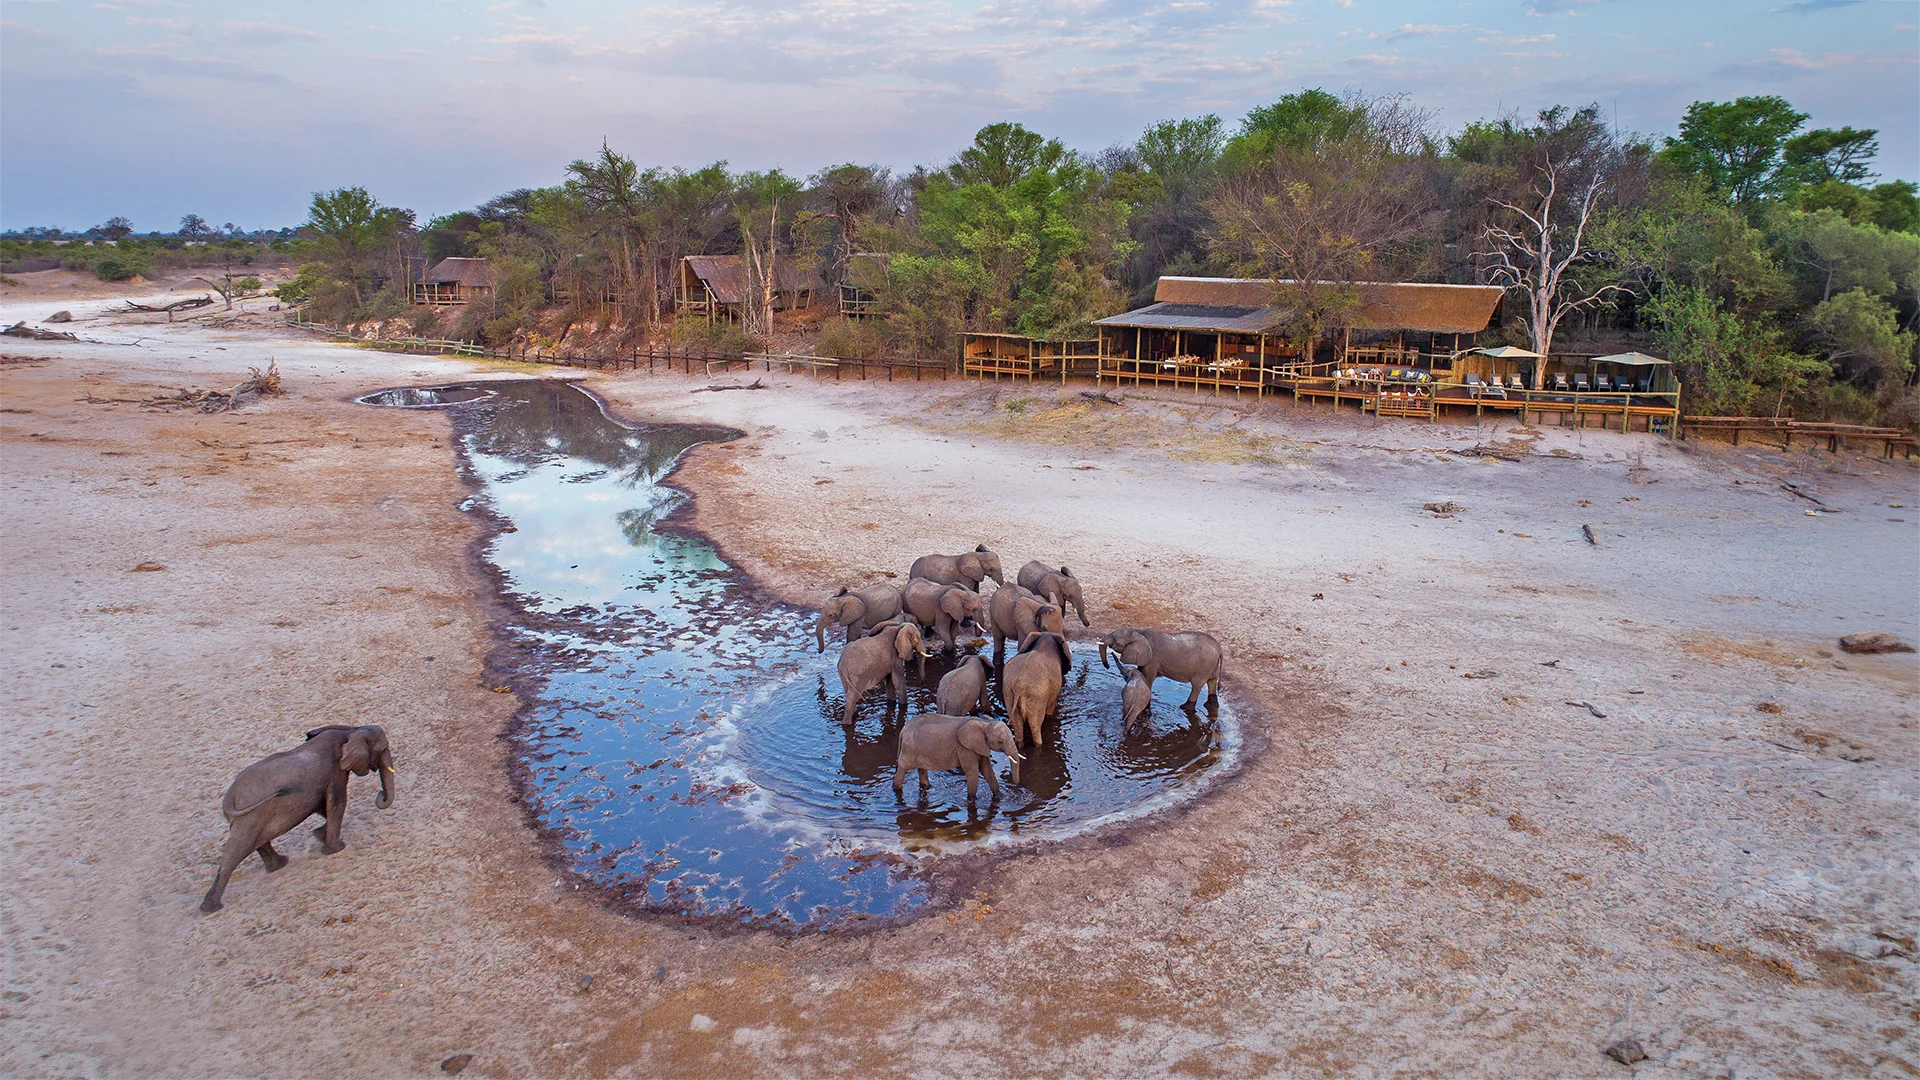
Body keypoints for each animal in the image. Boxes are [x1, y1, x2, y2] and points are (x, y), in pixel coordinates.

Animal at [201, 725, 396, 914]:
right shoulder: (335, 771)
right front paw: (336, 849)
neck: (351, 730)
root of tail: (229, 798)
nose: (380, 794)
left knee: (257, 842)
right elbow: (337, 804)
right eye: (382, 749)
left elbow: (323, 807)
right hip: (250, 817)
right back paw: (211, 909)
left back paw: (279, 865)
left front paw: (318, 835)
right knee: (237, 850)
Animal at [894, 713, 1024, 803]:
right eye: (1000, 741)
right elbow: (972, 771)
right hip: (909, 749)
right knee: (902, 769)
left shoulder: (979, 746)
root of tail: (903, 731)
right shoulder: (965, 749)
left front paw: (1001, 797)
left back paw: (927, 787)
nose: (1016, 785)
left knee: (922, 770)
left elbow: (986, 769)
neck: (983, 723)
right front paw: (972, 801)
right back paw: (896, 789)